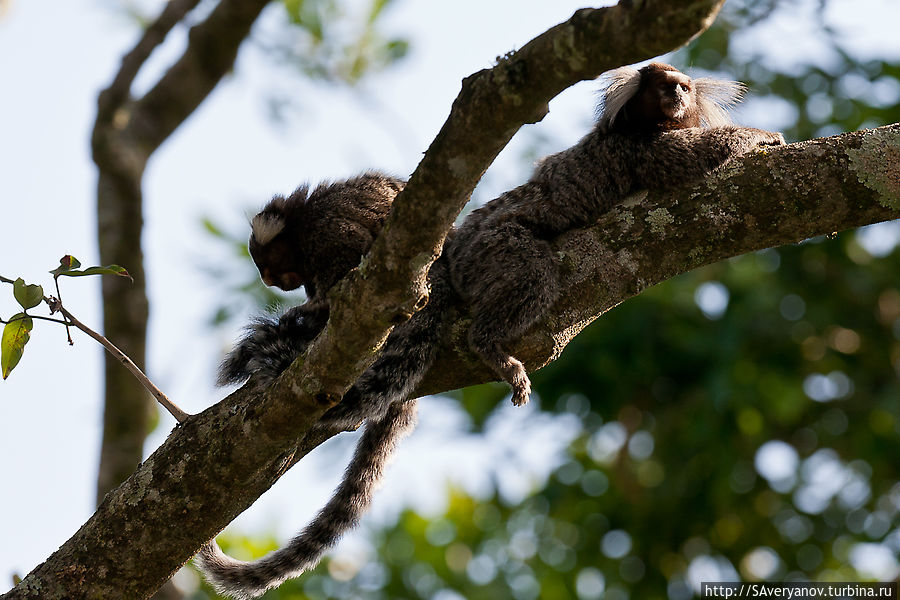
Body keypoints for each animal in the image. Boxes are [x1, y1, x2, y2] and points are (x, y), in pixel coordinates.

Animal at [195, 63, 780, 596]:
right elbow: (696, 155)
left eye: (681, 87)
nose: (679, 97)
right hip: (489, 250)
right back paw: (488, 345)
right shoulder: (640, 150)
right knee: (531, 271)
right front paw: (764, 136)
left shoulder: (331, 228)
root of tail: (453, 263)